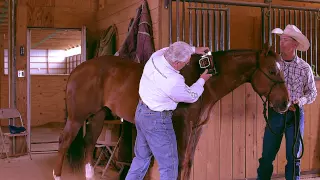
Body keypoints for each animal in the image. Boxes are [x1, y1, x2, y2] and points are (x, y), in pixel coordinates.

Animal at [52, 43, 290, 179]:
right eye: (271, 70)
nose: (285, 104)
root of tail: (77, 70)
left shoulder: (198, 129)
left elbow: (189, 163)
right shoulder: (182, 127)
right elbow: (179, 161)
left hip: (98, 116)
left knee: (89, 144)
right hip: (76, 118)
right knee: (64, 142)